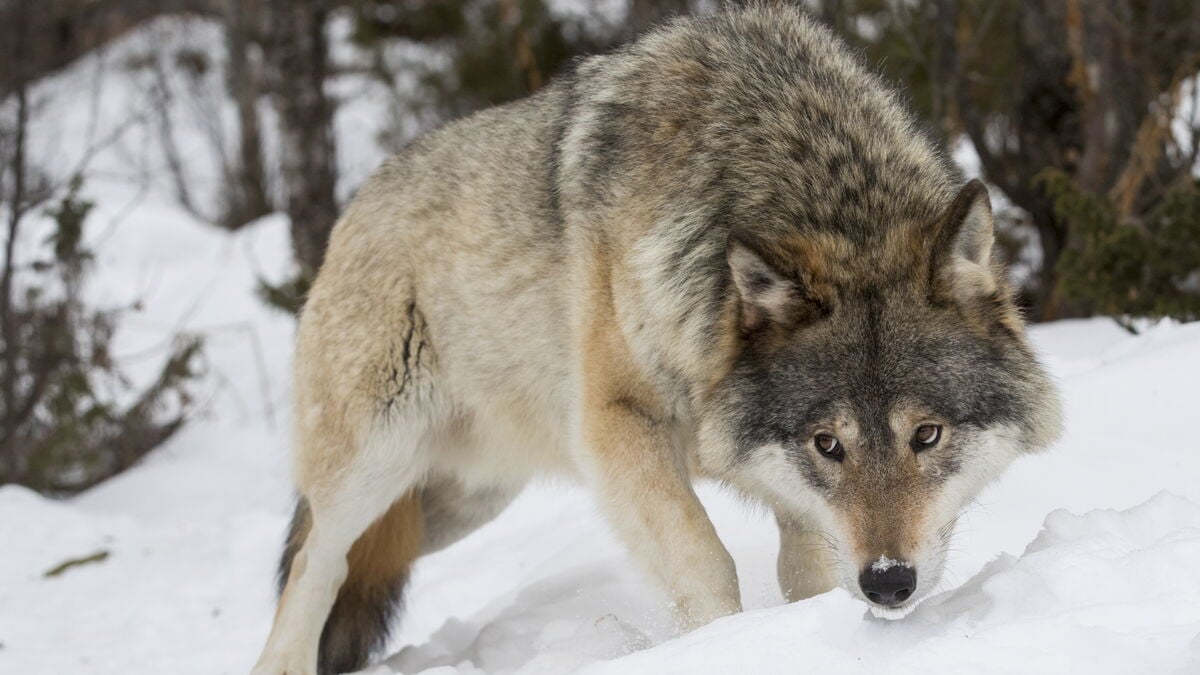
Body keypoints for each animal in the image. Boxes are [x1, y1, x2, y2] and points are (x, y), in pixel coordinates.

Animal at [251, 5, 1062, 674]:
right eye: (829, 444)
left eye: (927, 434)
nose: (888, 583)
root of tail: (354, 205)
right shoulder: (616, 426)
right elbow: (703, 561)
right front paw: (722, 645)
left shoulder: (790, 491)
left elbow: (806, 571)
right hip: (375, 465)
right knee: (312, 569)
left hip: (458, 505)